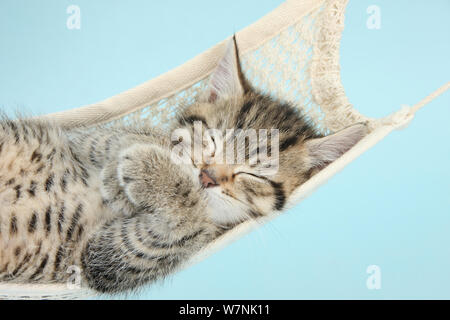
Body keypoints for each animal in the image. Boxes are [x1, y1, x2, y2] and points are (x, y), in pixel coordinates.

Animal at [0, 37, 366, 292]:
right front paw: (129, 170)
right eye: (213, 140)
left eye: (253, 175)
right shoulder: (80, 139)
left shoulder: (102, 260)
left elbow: (184, 223)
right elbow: (119, 135)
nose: (207, 177)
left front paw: (147, 175)